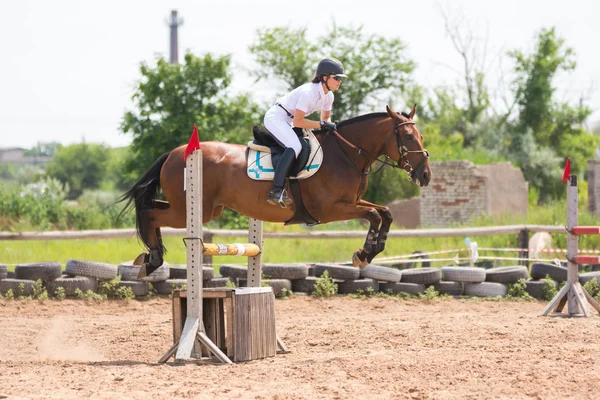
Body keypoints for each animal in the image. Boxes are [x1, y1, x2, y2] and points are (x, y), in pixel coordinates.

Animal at [119, 104, 428, 276]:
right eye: (408, 136)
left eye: (421, 135)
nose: (425, 175)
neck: (346, 154)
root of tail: (174, 153)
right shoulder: (332, 209)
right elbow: (375, 216)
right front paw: (364, 253)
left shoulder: (354, 201)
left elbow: (385, 212)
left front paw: (370, 252)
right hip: (194, 209)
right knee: (151, 214)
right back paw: (153, 259)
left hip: (203, 209)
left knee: (151, 209)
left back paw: (149, 258)